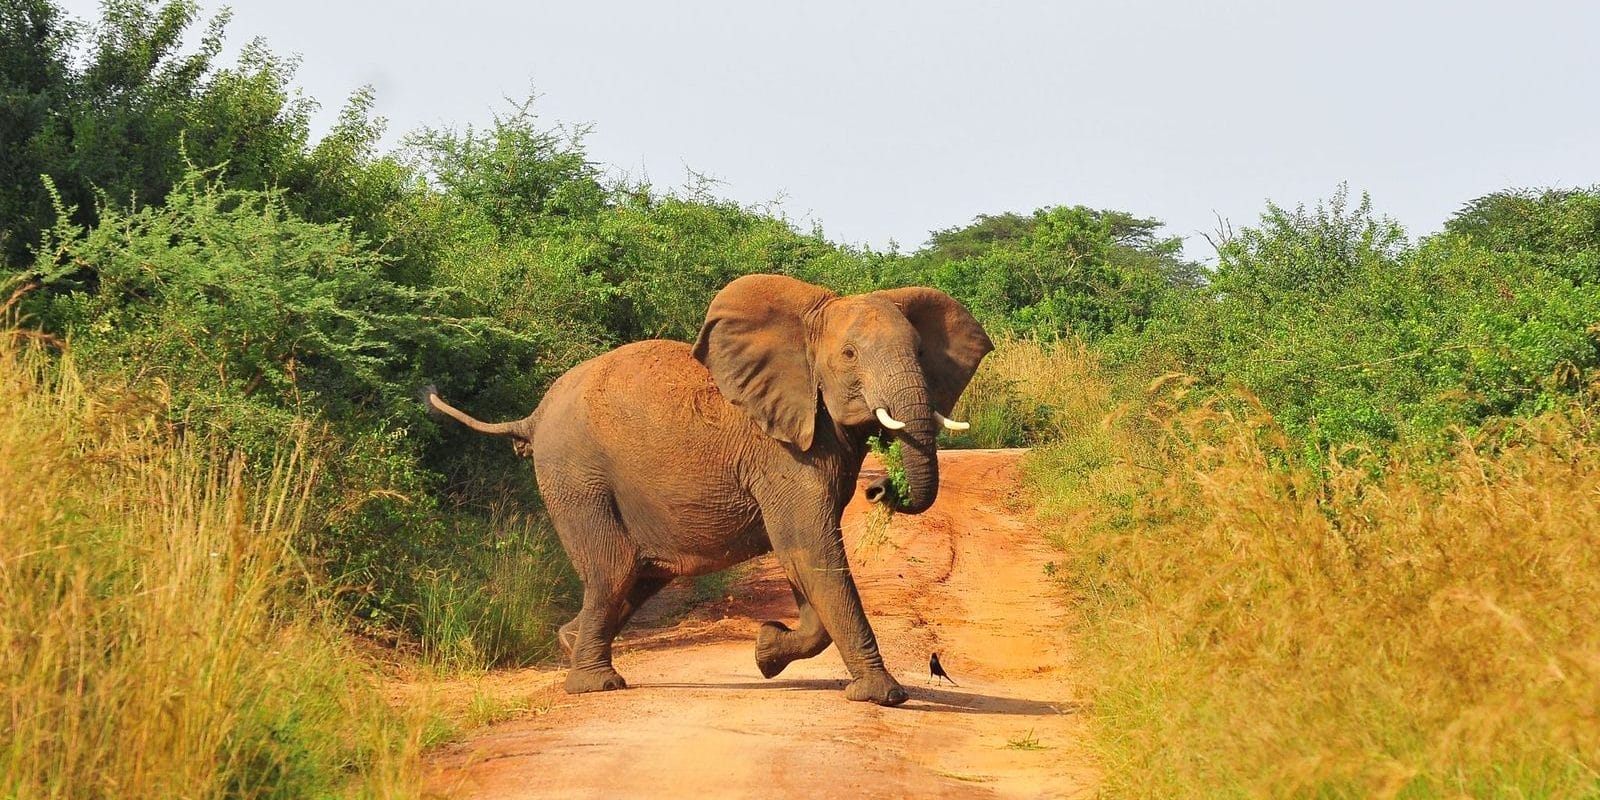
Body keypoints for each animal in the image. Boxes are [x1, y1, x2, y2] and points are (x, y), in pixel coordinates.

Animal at [424, 274, 992, 706]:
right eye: (850, 354)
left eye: (921, 352)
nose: (881, 489)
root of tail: (534, 415)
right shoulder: (782, 452)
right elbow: (808, 547)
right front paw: (883, 697)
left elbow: (803, 558)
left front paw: (766, 652)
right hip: (575, 473)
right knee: (613, 568)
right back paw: (595, 684)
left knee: (641, 571)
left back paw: (570, 643)